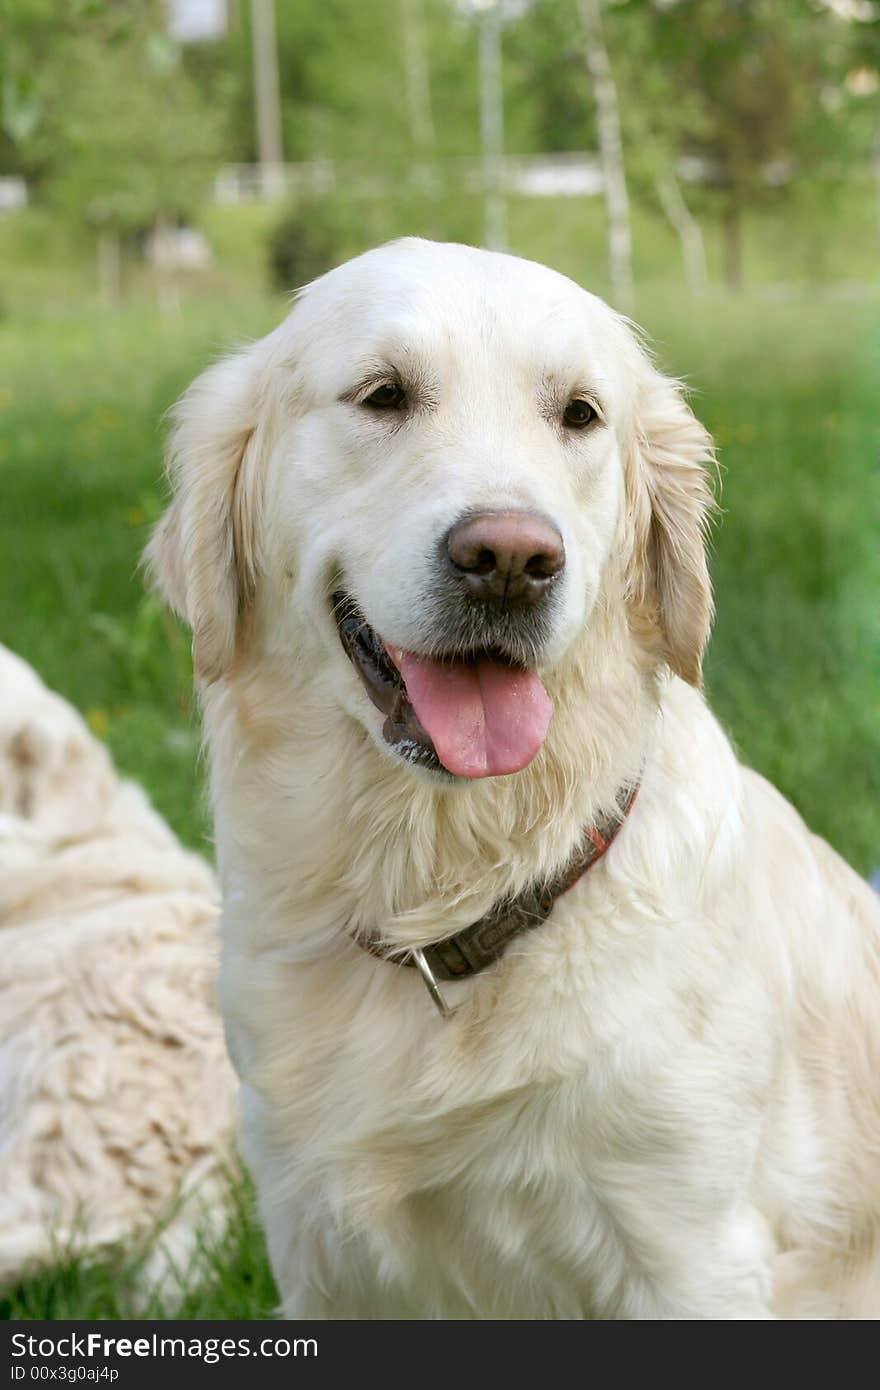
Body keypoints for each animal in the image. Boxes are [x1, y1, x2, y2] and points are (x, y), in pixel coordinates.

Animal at [147, 241, 878, 1323]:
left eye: (578, 413)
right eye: (382, 394)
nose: (509, 559)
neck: (453, 893)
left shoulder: (690, 1249)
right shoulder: (320, 1252)